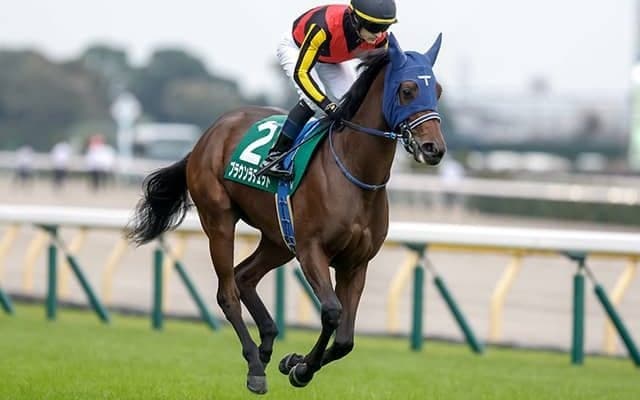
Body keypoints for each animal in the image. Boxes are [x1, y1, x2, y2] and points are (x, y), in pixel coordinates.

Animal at [127, 33, 446, 394]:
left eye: (437, 91)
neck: (354, 173)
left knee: (243, 276)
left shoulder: (356, 263)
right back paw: (255, 365)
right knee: (227, 292)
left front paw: (293, 362)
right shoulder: (311, 250)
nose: (434, 149)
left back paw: (266, 344)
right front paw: (301, 369)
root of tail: (207, 135)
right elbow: (332, 312)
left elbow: (345, 340)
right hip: (219, 220)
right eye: (407, 89)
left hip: (278, 239)